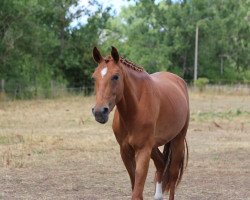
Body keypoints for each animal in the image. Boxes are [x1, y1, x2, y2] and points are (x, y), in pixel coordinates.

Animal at [92, 46, 189, 199]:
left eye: (115, 76)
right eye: (94, 77)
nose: (99, 112)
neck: (135, 110)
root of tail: (178, 80)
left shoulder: (143, 151)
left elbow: (137, 193)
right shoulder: (125, 151)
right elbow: (135, 187)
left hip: (177, 139)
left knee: (173, 176)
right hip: (154, 146)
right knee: (161, 164)